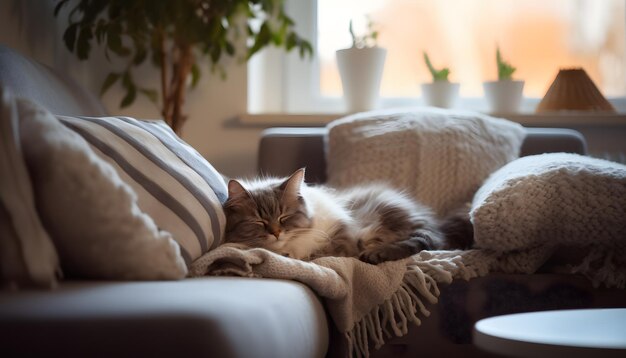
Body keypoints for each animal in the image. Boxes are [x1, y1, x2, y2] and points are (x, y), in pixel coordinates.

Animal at [222, 168, 470, 262]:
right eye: (259, 221)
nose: (276, 233)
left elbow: (325, 251)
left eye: (284, 218)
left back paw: (373, 254)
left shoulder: (340, 234)